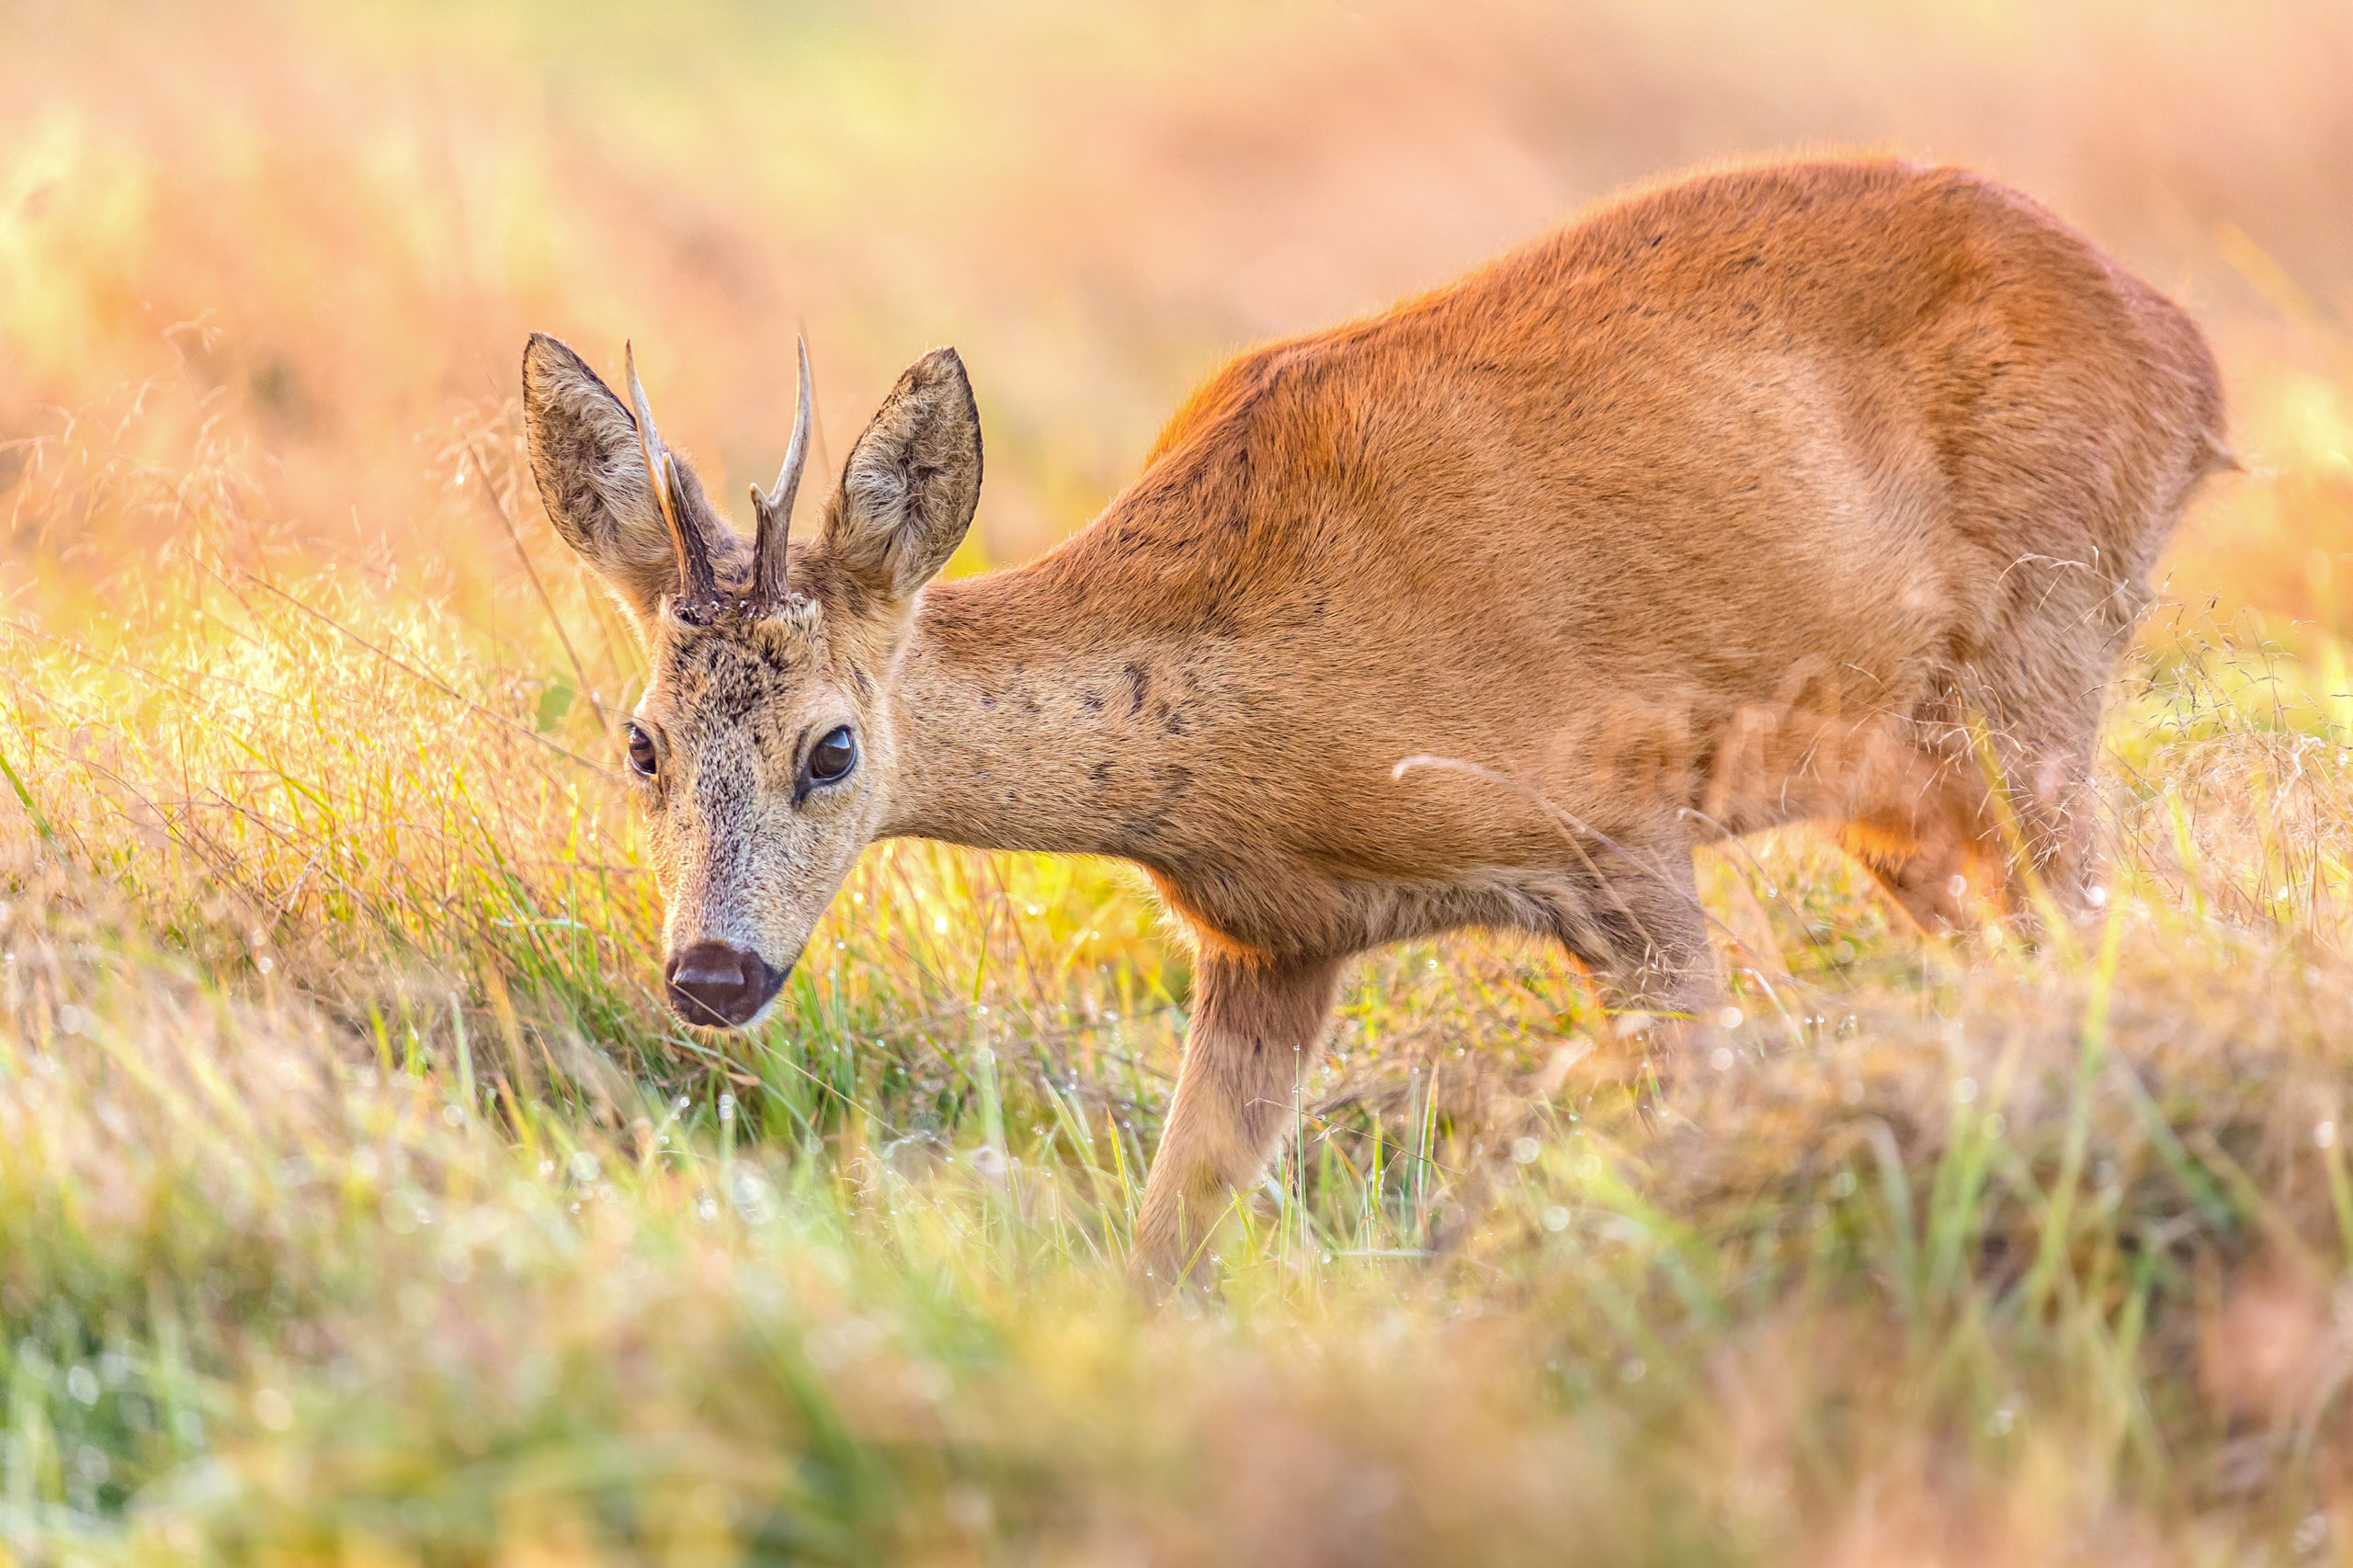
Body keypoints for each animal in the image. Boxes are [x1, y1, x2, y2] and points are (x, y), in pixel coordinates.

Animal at [515, 155, 2221, 1280]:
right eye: (640, 741)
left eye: (835, 746)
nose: (713, 971)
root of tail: (2184, 352)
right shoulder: (1269, 941)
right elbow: (1167, 1241)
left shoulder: (1615, 824)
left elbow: (1701, 1111)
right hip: (1907, 785)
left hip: (2042, 649)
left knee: (2103, 927)